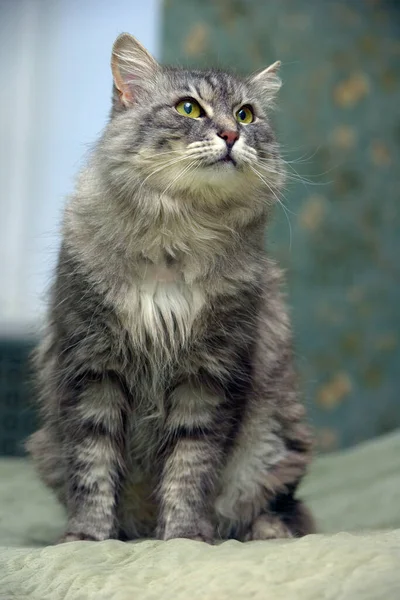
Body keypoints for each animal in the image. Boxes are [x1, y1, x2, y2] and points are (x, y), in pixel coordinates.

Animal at [28, 35, 316, 548]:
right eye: (189, 108)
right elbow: (93, 468)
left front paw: (183, 537)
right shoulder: (92, 367)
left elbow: (189, 469)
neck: (176, 236)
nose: (230, 135)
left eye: (245, 114)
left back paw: (266, 533)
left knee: (275, 506)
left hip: (274, 441)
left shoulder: (209, 374)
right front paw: (88, 539)